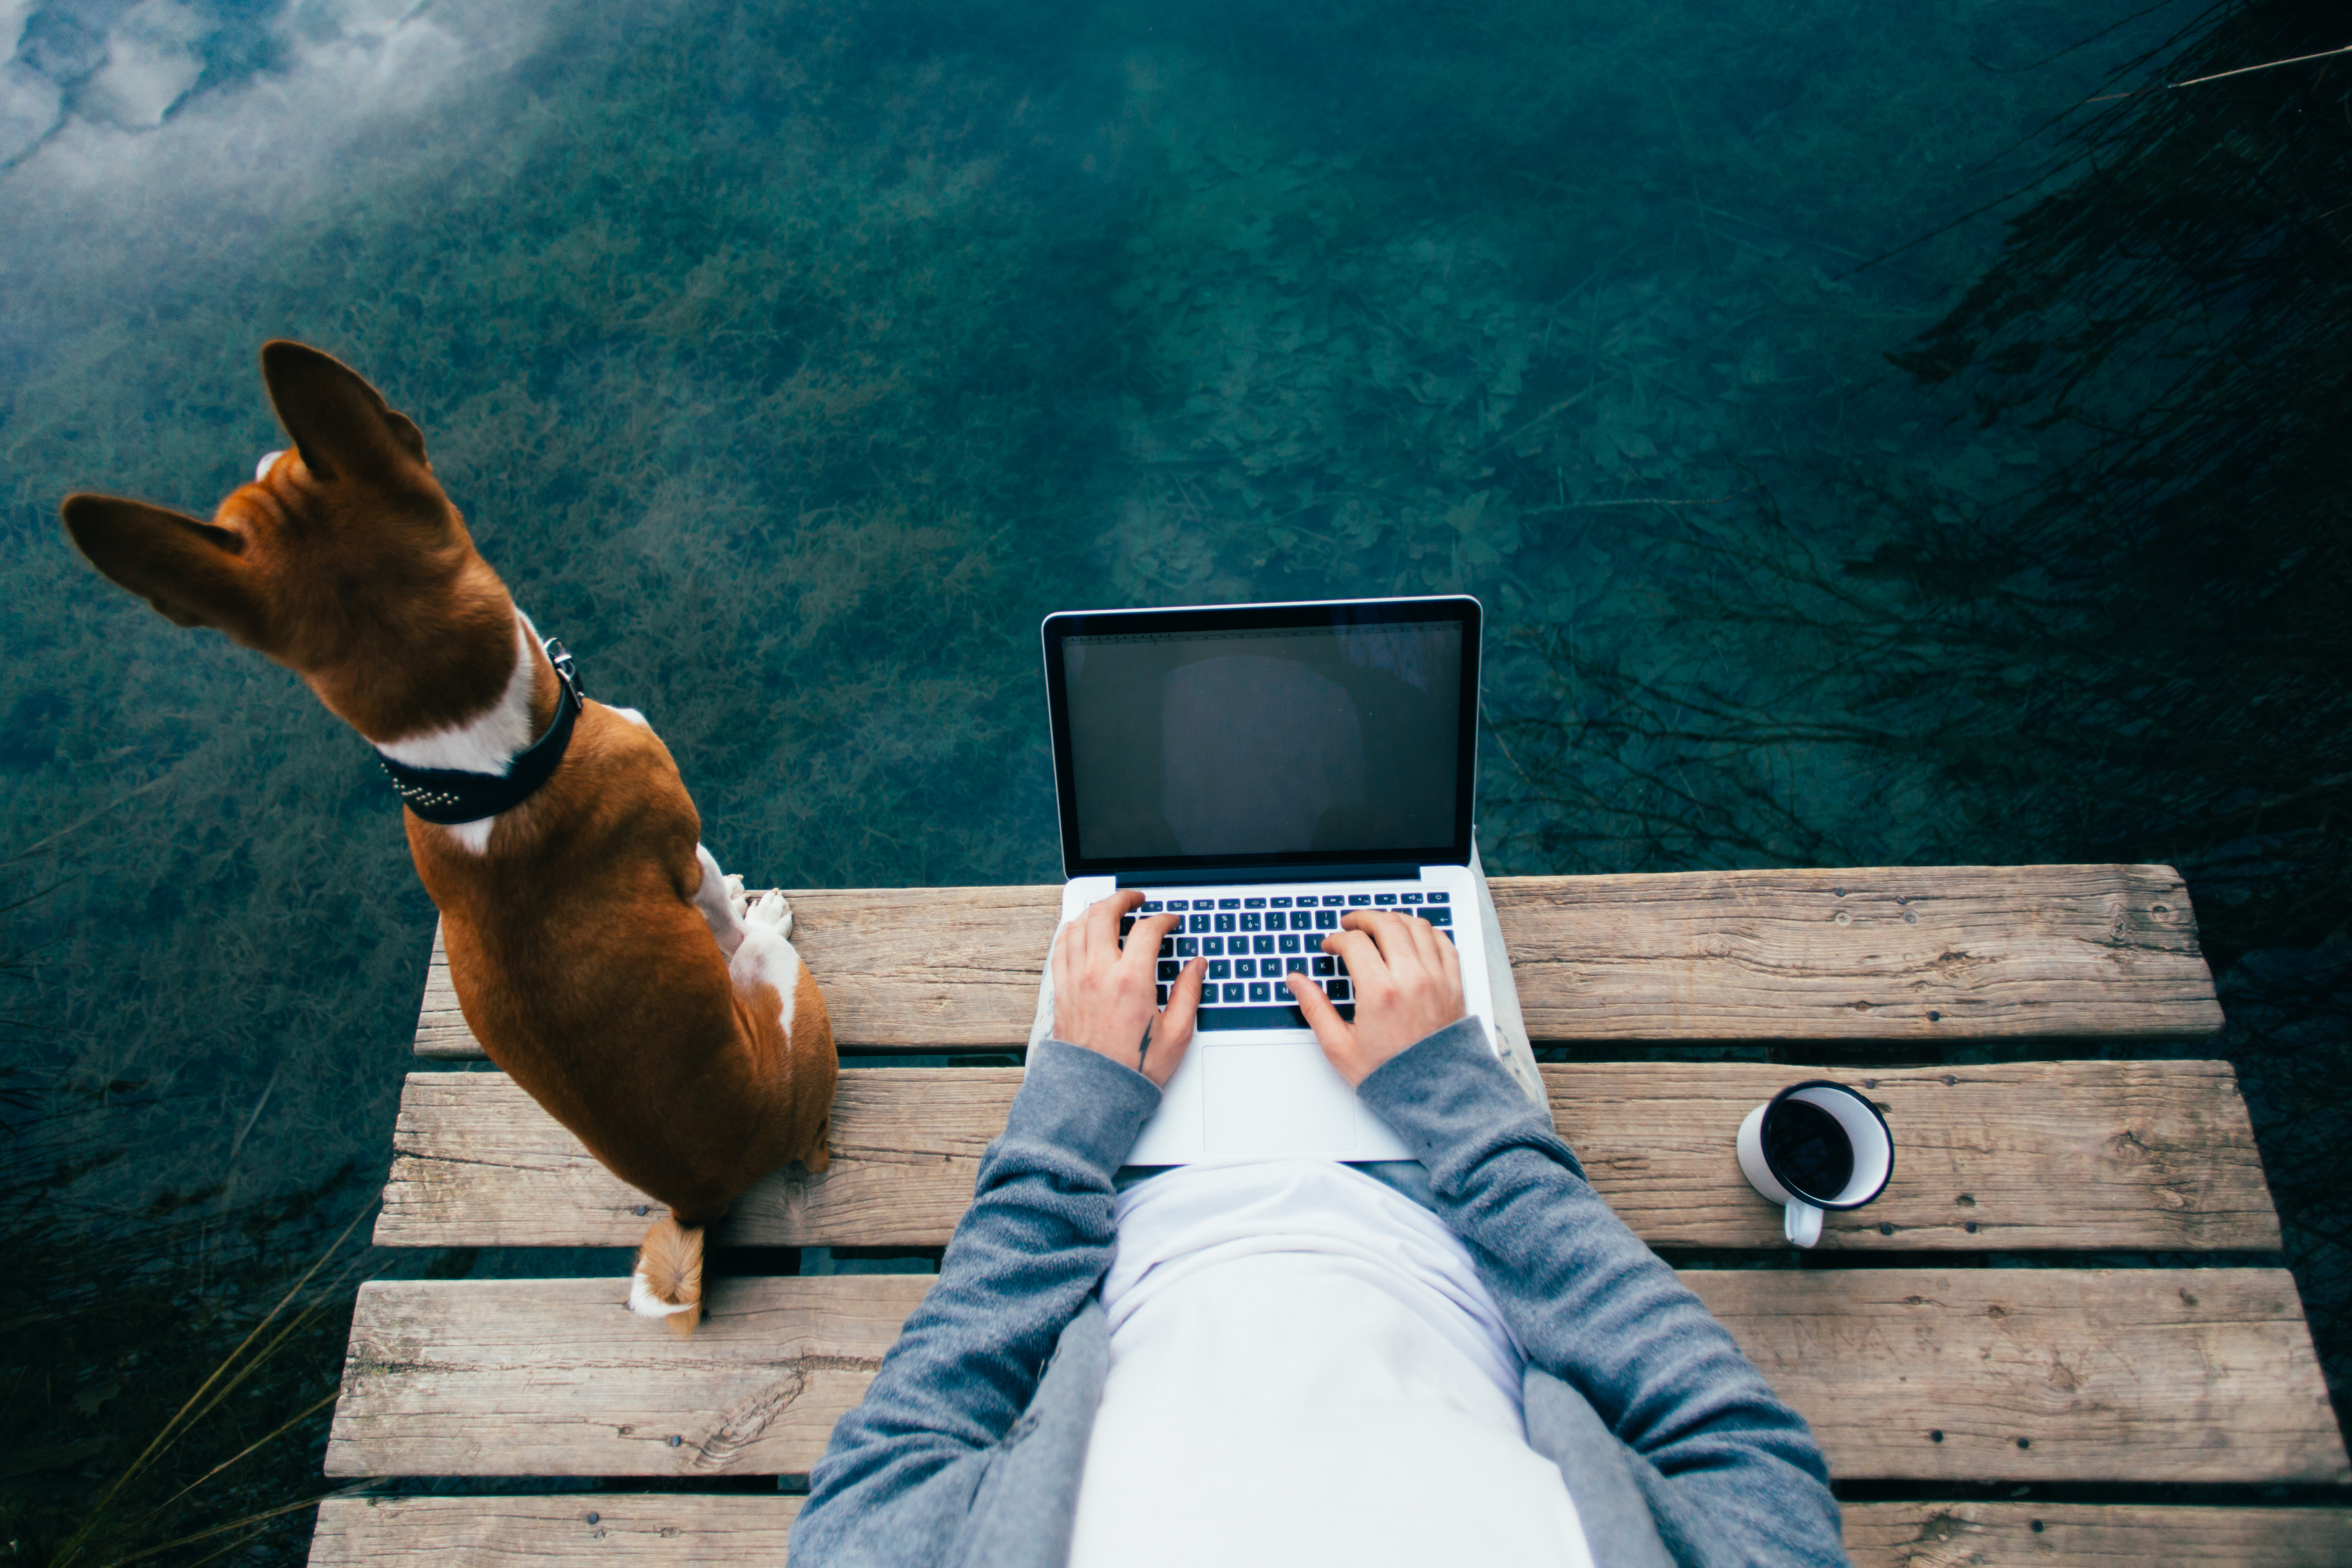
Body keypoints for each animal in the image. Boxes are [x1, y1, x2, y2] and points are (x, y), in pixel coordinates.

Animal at [59, 343, 837, 1335]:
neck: (483, 766)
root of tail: (698, 1198)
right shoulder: (678, 838)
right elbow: (712, 899)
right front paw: (748, 904)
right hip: (787, 999)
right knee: (761, 957)